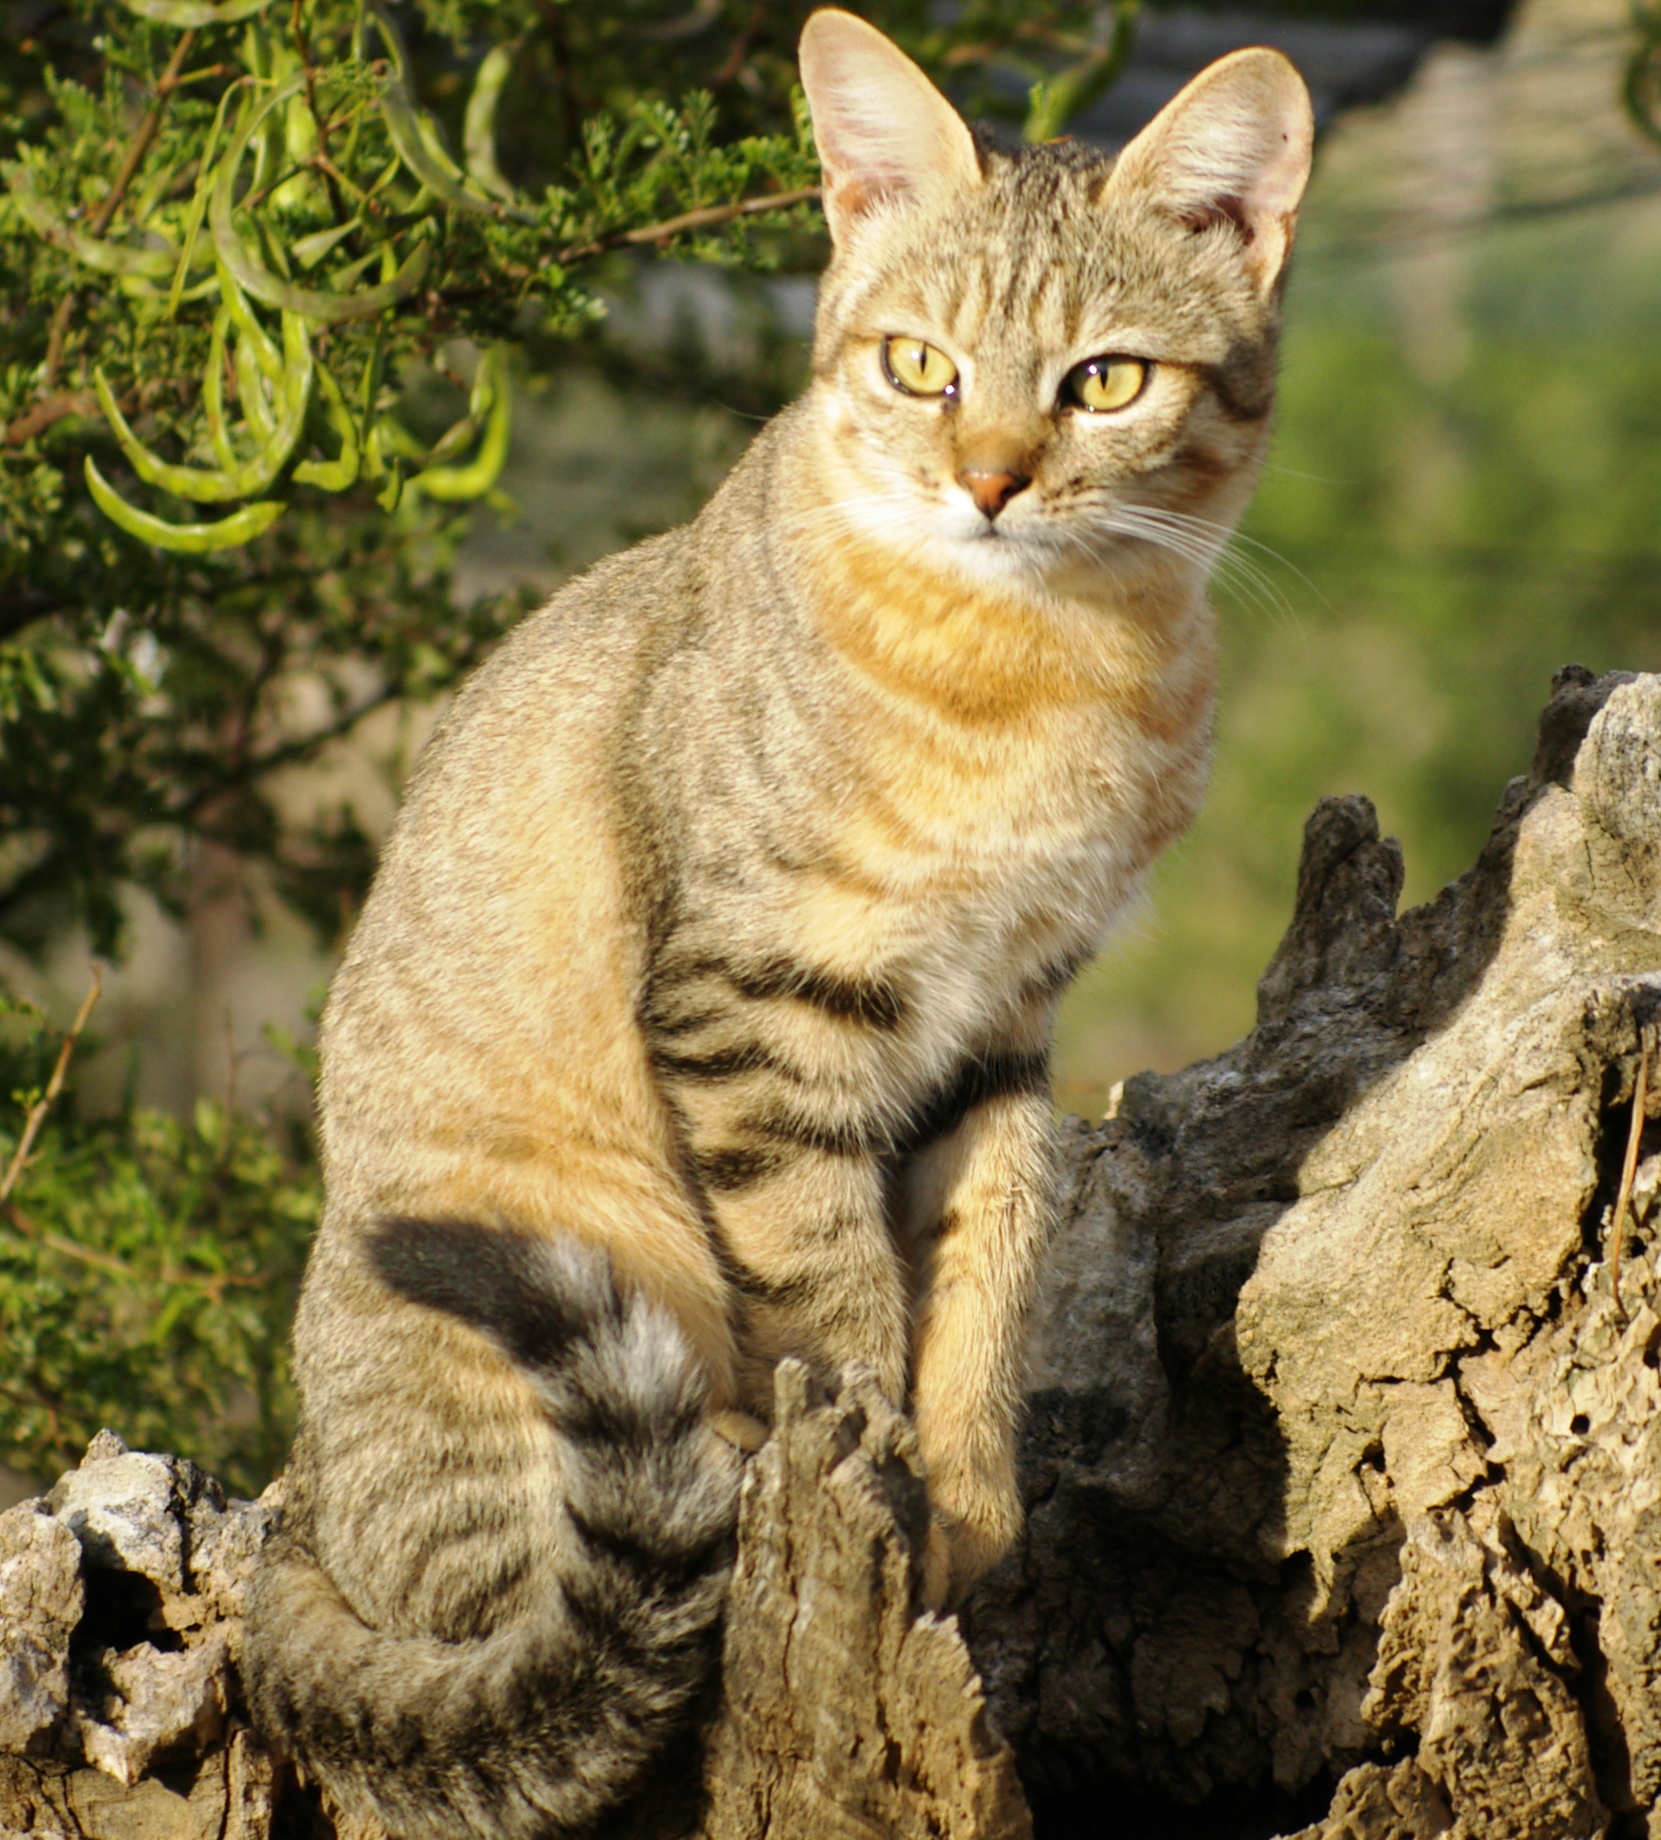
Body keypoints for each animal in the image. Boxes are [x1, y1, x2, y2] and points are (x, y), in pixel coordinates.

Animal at [242, 14, 1309, 1840]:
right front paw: (875, 1454)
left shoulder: (1004, 1018)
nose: (988, 482)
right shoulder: (754, 1002)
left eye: (1103, 380)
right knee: (525, 1607)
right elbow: (827, 1281)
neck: (1040, 669)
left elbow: (991, 1250)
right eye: (918, 367)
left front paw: (965, 1502)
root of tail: (300, 1513)